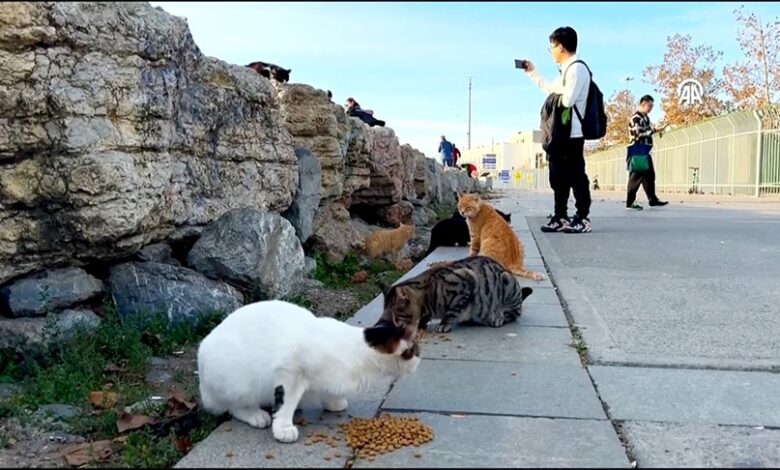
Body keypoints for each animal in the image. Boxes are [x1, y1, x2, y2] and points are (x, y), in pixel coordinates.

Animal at [198, 300, 424, 442]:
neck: (358, 352)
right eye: (414, 350)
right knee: (233, 407)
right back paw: (256, 415)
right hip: (238, 381)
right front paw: (283, 427)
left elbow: (329, 391)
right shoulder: (290, 371)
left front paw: (333, 402)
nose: (420, 360)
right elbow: (285, 402)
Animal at [380, 258, 536, 334]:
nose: (389, 326)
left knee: (515, 313)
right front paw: (422, 324)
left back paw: (499, 318)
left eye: (395, 316)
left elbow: (451, 312)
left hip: (507, 282)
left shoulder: (466, 282)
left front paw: (443, 325)